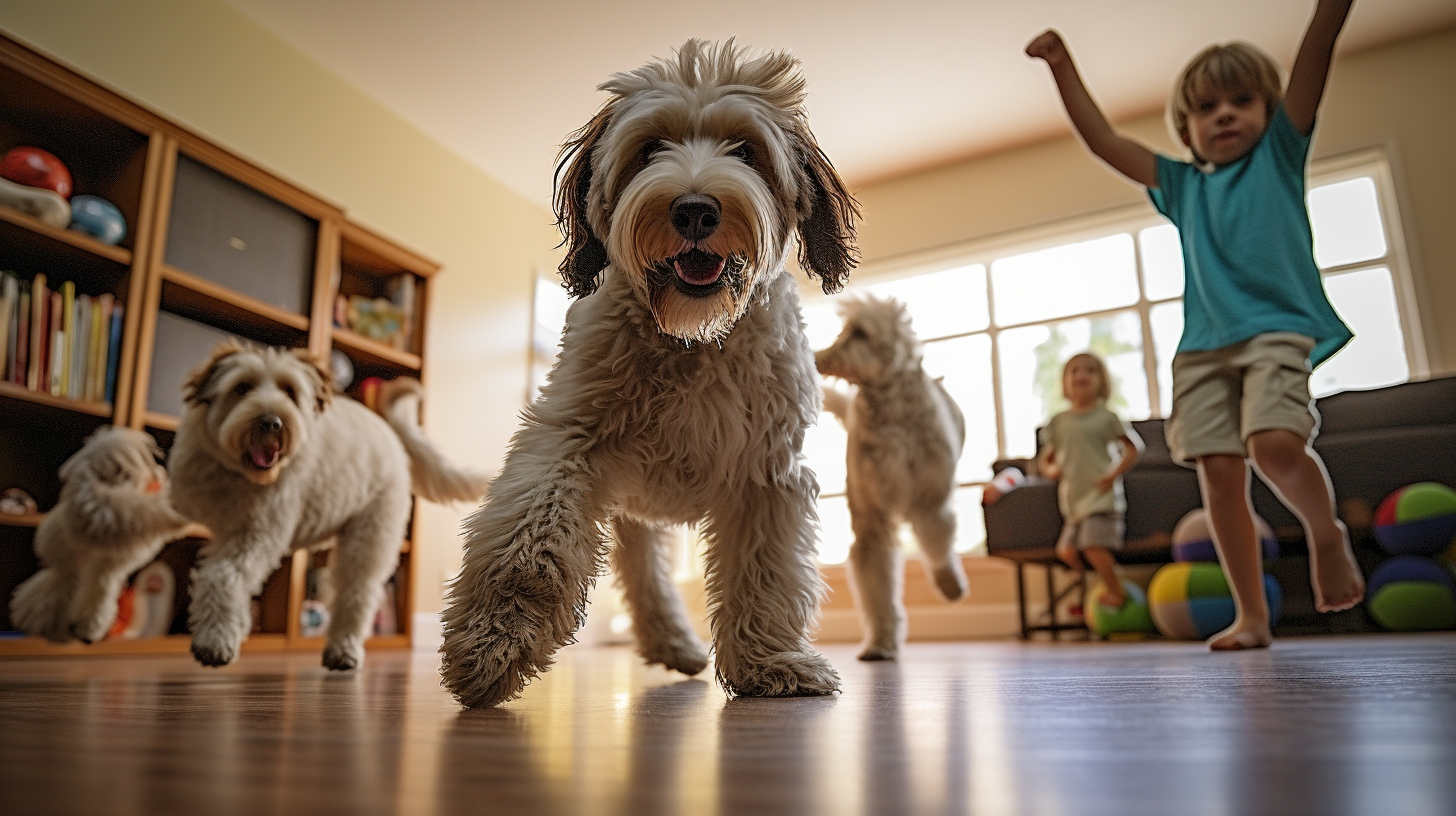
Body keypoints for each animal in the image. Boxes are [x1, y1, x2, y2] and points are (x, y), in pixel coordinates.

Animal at [173, 340, 492, 673]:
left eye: (289, 391)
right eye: (242, 387)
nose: (272, 423)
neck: (233, 472)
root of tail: (389, 432)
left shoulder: (256, 534)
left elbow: (222, 578)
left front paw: (215, 640)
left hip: (368, 539)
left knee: (357, 595)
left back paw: (344, 650)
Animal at [436, 38, 856, 708]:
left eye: (747, 151)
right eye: (651, 148)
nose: (694, 209)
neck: (692, 339)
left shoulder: (767, 472)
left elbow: (765, 571)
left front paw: (770, 664)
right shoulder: (568, 438)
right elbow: (527, 544)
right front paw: (491, 642)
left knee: (647, 571)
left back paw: (676, 644)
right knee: (638, 568)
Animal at [821, 295, 966, 658]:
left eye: (859, 332)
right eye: (843, 331)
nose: (821, 359)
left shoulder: (931, 501)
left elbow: (937, 543)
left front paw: (949, 584)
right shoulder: (871, 519)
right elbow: (877, 590)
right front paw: (881, 641)